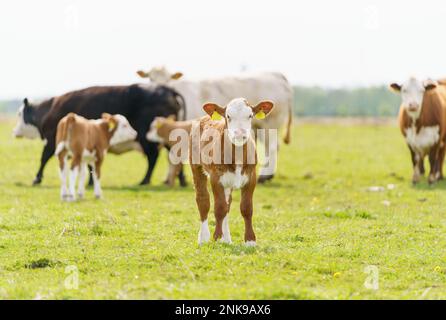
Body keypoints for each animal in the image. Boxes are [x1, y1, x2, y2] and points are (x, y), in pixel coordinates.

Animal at [12, 84, 185, 186]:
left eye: (19, 113)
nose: (14, 131)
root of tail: (167, 89)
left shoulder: (52, 141)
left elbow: (44, 158)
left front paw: (37, 178)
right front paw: (90, 181)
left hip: (149, 138)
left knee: (153, 158)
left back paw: (145, 181)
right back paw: (180, 181)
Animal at [138, 65, 294, 182]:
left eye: (168, 78)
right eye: (150, 78)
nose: (159, 90)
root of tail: (276, 74)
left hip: (270, 124)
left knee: (271, 147)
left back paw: (265, 175)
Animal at [190, 97, 274, 245]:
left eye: (250, 115)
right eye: (228, 116)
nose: (240, 133)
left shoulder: (251, 177)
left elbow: (246, 208)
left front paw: (250, 241)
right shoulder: (216, 178)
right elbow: (219, 208)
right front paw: (217, 237)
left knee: (227, 204)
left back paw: (227, 239)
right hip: (196, 166)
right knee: (203, 201)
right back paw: (204, 238)